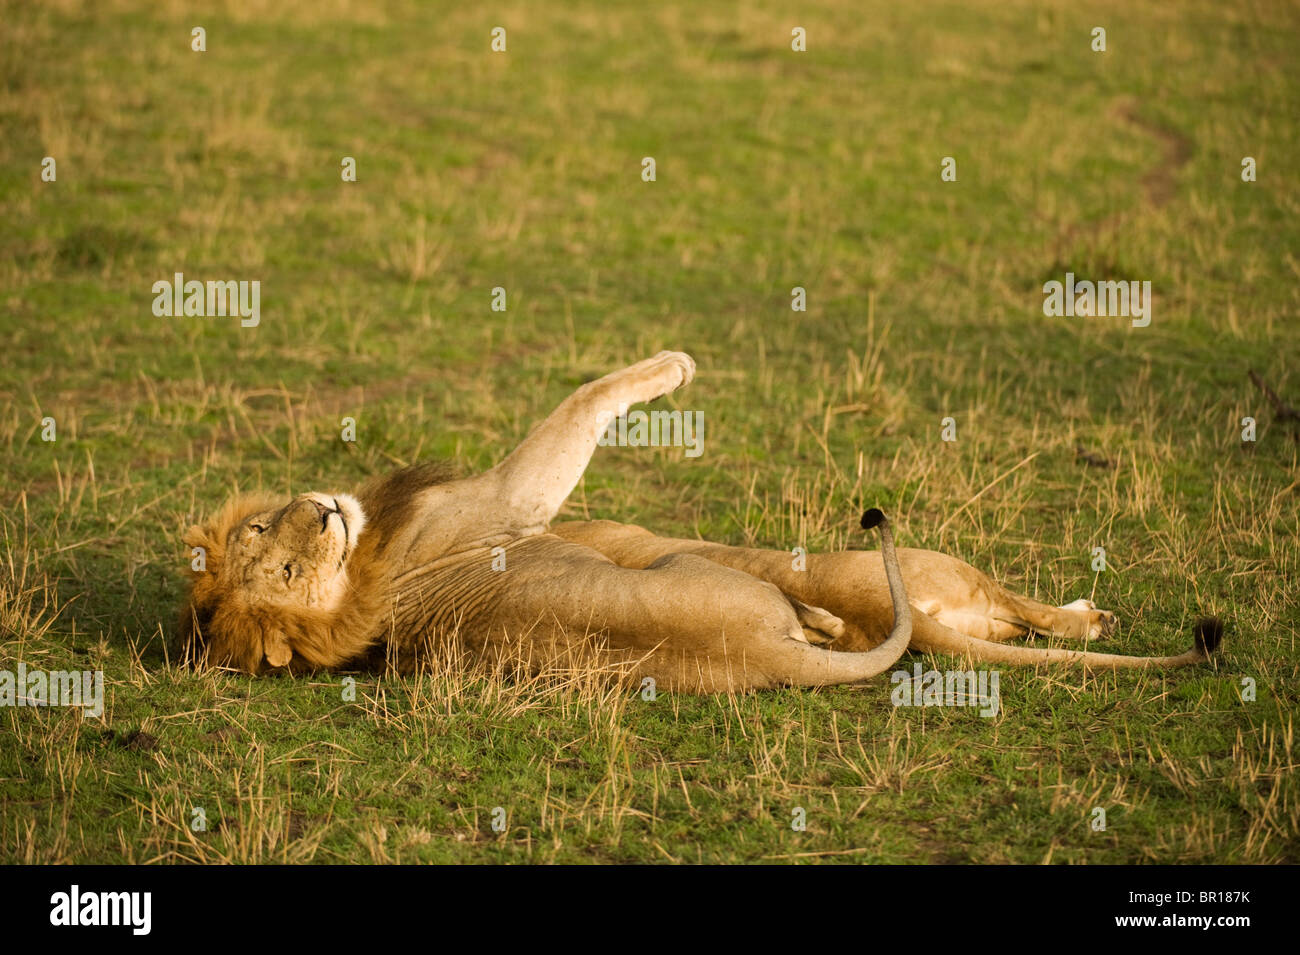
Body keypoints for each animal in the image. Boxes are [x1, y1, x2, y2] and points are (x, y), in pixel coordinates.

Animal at [180, 351, 1222, 692]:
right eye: (280, 564)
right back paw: (1086, 614)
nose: (319, 508)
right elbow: (584, 402)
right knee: (1025, 614)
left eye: (266, 537)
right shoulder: (514, 493)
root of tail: (761, 648)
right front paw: (670, 367)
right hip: (899, 563)